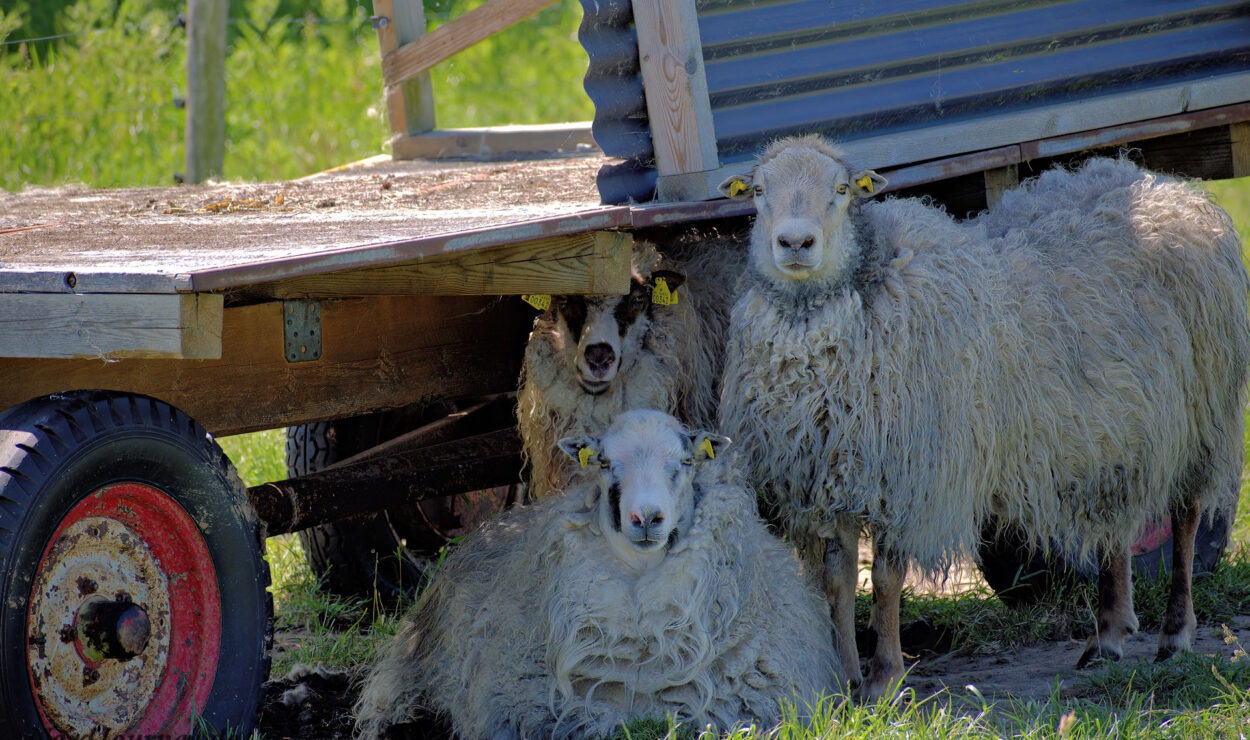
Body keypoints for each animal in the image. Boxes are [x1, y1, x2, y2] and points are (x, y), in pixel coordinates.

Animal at [720, 134, 1250, 700]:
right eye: (758, 192)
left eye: (841, 190)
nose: (795, 243)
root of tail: (1173, 190)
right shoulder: (834, 476)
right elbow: (836, 582)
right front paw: (844, 682)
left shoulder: (910, 480)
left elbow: (885, 579)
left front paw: (884, 676)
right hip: (1119, 428)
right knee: (1117, 520)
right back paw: (1108, 635)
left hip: (1202, 416)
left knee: (1187, 517)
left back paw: (1175, 634)